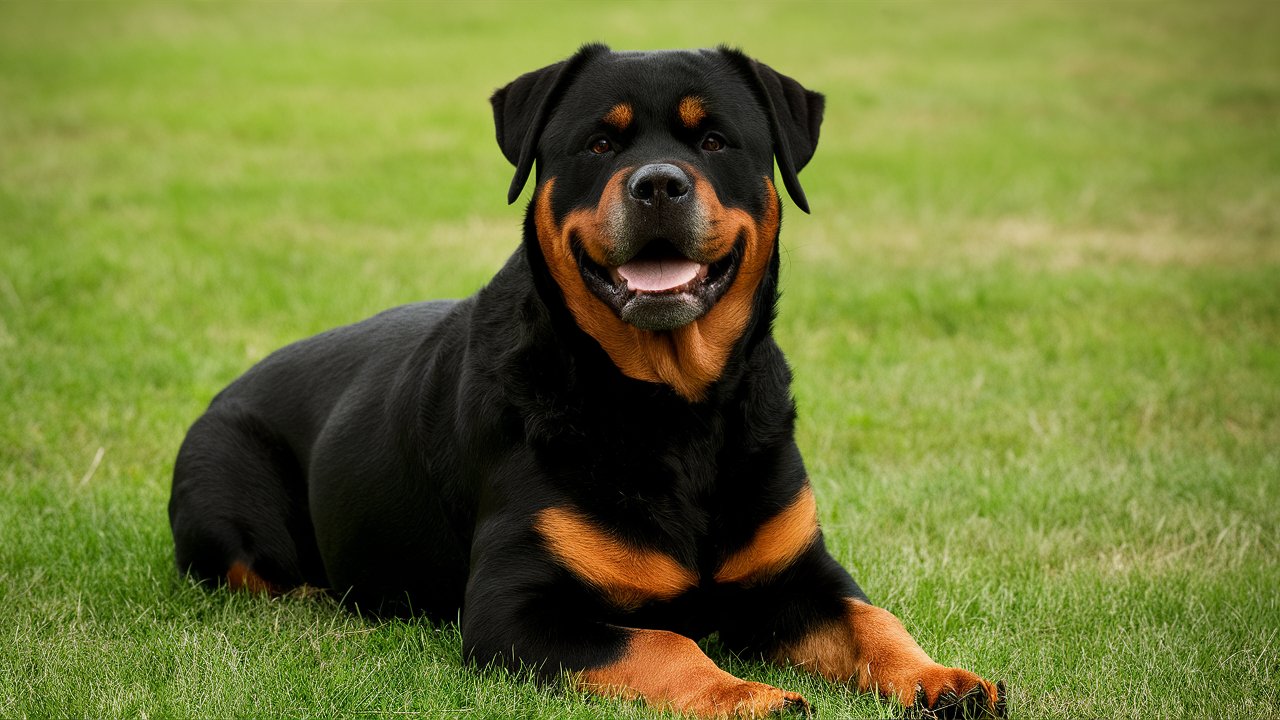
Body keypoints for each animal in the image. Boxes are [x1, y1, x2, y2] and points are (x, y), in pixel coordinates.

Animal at [170, 44, 1003, 717]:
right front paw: (748, 695)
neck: (675, 409)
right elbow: (664, 642)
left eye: (714, 139)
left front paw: (941, 677)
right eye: (600, 142)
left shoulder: (799, 574)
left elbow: (873, 620)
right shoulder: (513, 611)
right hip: (224, 509)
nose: (660, 183)